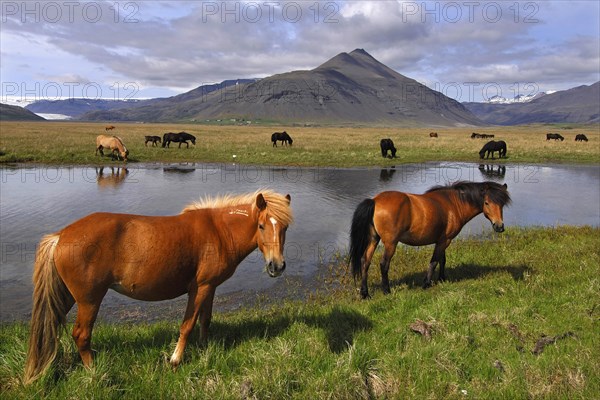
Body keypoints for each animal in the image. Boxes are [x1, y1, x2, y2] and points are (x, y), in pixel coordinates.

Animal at [23, 189, 292, 382]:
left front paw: (205, 349)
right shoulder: (199, 288)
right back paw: (94, 373)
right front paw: (175, 360)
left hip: (67, 296)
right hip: (89, 300)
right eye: (261, 226)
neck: (218, 231)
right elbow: (187, 325)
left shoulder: (210, 287)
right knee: (81, 335)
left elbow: (206, 320)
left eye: (285, 227)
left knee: (52, 328)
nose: (276, 266)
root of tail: (60, 236)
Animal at [346, 180, 510, 298]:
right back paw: (386, 291)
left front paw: (442, 279)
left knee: (365, 261)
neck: (453, 204)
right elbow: (434, 261)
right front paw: (427, 283)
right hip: (390, 243)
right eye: (487, 202)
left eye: (502, 204)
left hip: (374, 239)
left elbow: (442, 260)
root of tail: (375, 201)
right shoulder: (445, 240)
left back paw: (365, 293)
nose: (499, 226)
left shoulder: (442, 240)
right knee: (384, 264)